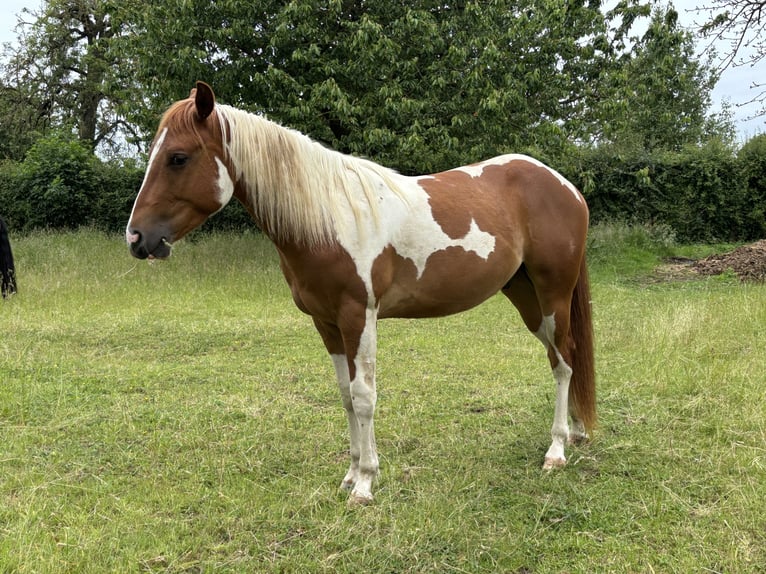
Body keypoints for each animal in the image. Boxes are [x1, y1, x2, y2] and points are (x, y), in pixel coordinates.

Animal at [126, 82, 595, 505]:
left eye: (178, 158)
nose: (136, 238)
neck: (329, 218)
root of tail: (565, 186)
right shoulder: (327, 323)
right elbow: (345, 396)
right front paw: (350, 475)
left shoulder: (359, 316)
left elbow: (364, 395)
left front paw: (366, 484)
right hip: (526, 297)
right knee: (562, 356)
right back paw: (575, 432)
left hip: (553, 293)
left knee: (563, 363)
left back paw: (556, 449)